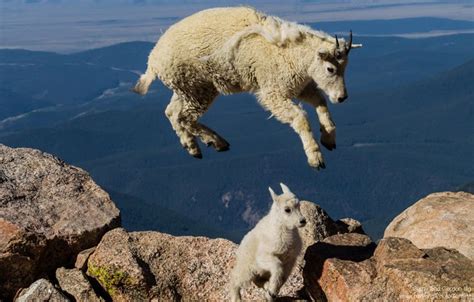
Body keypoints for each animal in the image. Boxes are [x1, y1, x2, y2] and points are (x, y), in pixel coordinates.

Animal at [134, 6, 362, 170]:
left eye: (346, 67)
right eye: (330, 68)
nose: (342, 97)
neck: (287, 51)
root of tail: (153, 60)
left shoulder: (299, 86)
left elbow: (321, 103)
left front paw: (329, 139)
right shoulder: (273, 91)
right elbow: (300, 118)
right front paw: (316, 158)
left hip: (188, 89)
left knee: (172, 112)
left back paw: (193, 147)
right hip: (197, 88)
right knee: (184, 117)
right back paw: (216, 142)